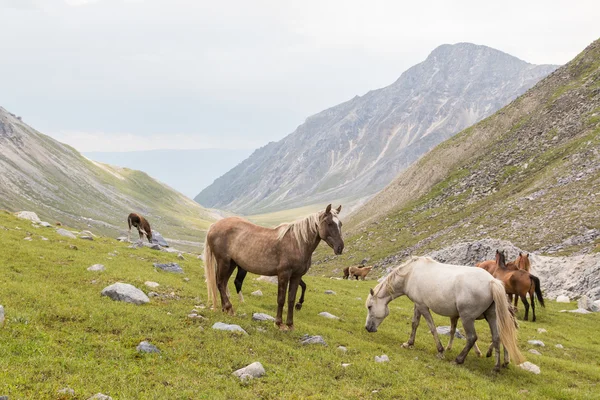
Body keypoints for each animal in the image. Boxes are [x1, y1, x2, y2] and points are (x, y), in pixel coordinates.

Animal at [203, 205, 342, 330]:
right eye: (329, 223)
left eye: (340, 224)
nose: (340, 247)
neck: (297, 242)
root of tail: (213, 226)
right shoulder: (283, 275)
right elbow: (281, 299)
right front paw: (279, 323)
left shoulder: (296, 277)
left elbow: (291, 299)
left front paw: (290, 324)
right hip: (224, 262)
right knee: (220, 283)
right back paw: (229, 308)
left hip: (231, 264)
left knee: (223, 283)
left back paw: (224, 309)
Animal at [364, 256, 524, 372]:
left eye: (370, 307)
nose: (367, 328)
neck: (410, 274)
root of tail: (492, 281)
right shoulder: (417, 305)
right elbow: (415, 324)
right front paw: (409, 343)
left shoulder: (423, 306)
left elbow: (432, 327)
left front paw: (440, 350)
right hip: (491, 316)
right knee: (497, 337)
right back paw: (496, 367)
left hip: (467, 318)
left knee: (472, 338)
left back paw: (459, 360)